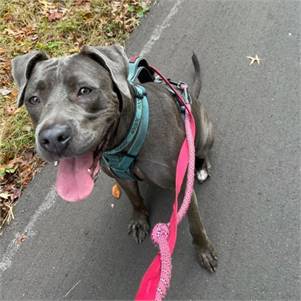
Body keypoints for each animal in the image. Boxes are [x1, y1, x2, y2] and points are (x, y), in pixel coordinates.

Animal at [11, 44, 217, 272]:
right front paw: (139, 219)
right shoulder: (122, 177)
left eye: (85, 90)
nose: (53, 138)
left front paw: (203, 250)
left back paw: (201, 168)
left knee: (202, 152)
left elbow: (194, 222)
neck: (126, 137)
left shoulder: (181, 184)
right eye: (33, 100)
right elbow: (134, 198)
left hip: (203, 133)